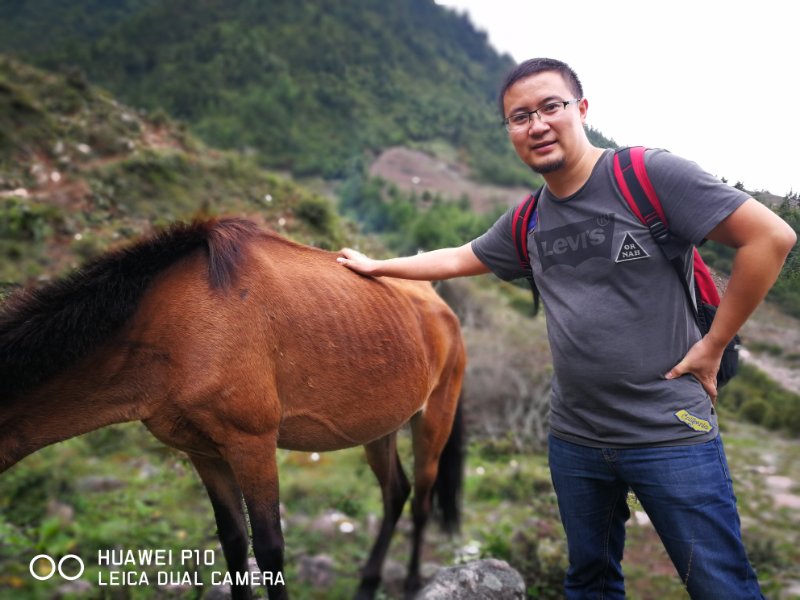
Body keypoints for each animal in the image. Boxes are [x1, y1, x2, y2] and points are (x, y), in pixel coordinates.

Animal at [0, 218, 466, 596]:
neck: (168, 327)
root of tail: (443, 308)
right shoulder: (203, 451)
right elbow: (235, 543)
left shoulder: (252, 444)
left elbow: (270, 549)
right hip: (380, 428)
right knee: (395, 492)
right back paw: (368, 584)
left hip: (433, 420)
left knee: (421, 500)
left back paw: (411, 582)